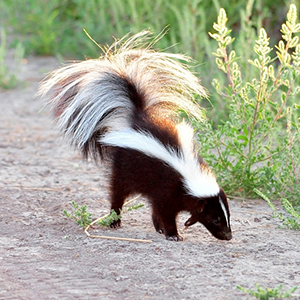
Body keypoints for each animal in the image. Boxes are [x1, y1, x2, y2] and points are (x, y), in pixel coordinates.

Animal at [39, 31, 232, 241]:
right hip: (123, 168)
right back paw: (115, 220)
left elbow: (164, 209)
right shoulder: (167, 189)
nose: (228, 235)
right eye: (215, 220)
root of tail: (134, 118)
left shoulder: (167, 192)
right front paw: (173, 233)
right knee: (117, 194)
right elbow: (165, 211)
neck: (188, 173)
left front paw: (185, 223)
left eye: (227, 216)